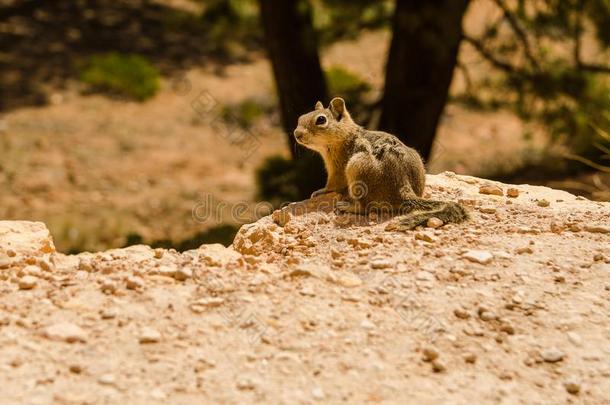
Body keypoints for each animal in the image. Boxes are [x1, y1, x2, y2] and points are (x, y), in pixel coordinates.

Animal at [290, 96, 466, 229]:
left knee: (365, 208)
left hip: (356, 167)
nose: (296, 134)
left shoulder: (338, 168)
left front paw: (319, 191)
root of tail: (403, 189)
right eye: (300, 118)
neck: (346, 136)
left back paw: (347, 206)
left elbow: (333, 185)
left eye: (321, 120)